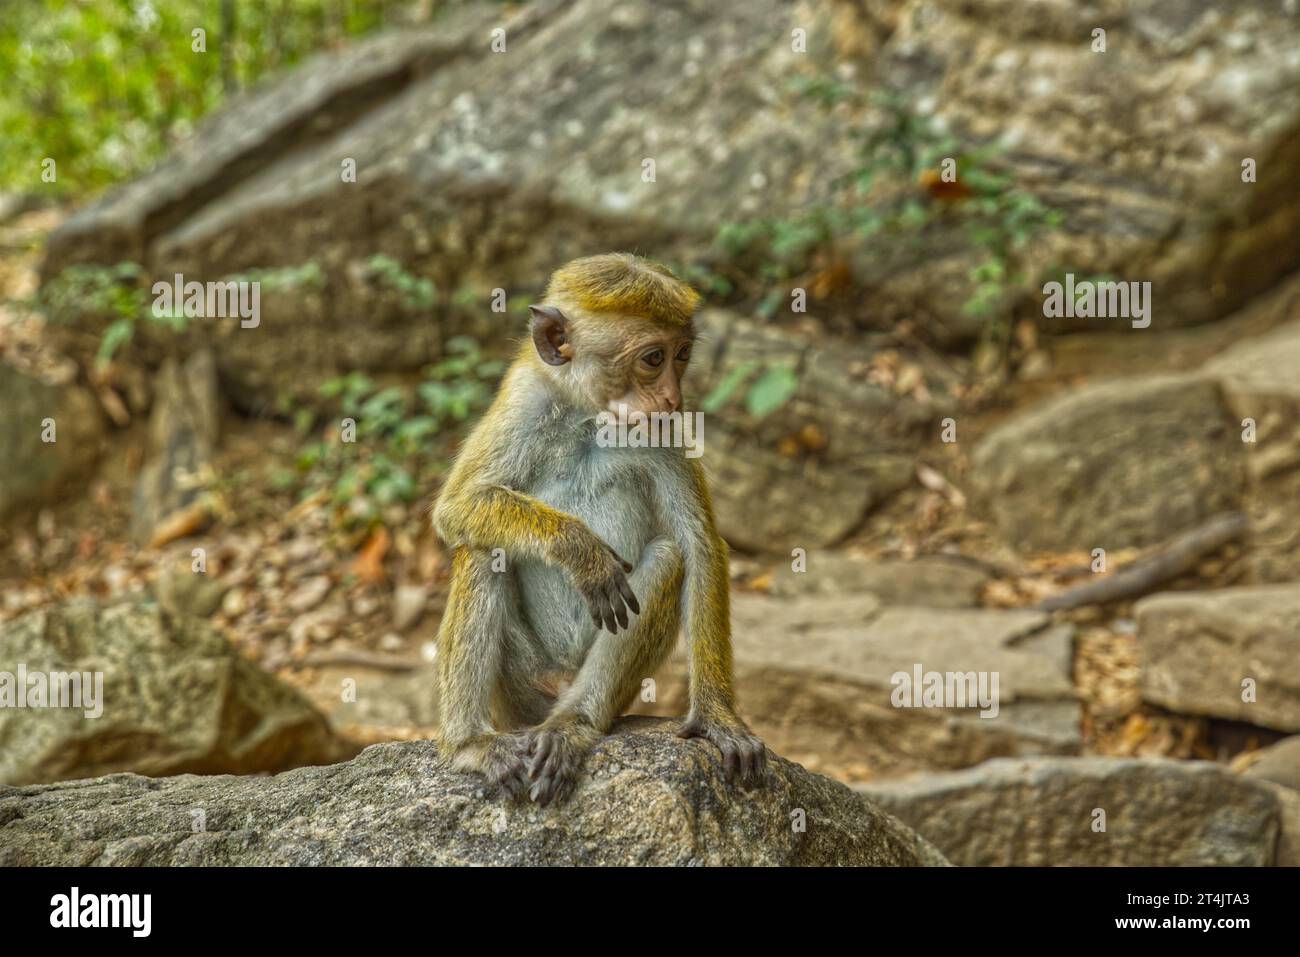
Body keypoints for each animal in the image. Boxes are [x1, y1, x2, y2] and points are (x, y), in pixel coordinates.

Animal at [431, 250, 764, 806]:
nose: (672, 398)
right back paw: (471, 744)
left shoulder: (664, 432)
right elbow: (457, 507)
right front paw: (580, 551)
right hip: (521, 686)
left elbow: (699, 548)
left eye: (682, 355)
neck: (591, 415)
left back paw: (573, 725)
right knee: (480, 551)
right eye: (653, 358)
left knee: (667, 557)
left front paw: (718, 717)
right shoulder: (525, 398)